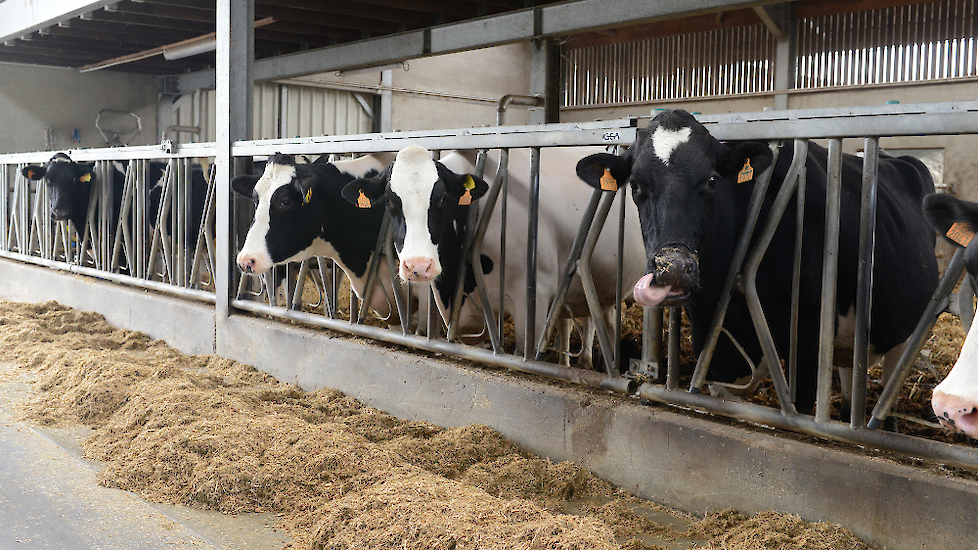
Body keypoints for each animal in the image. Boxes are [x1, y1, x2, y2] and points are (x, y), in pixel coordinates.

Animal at [576, 111, 936, 414]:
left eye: (712, 180)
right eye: (635, 185)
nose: (673, 268)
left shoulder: (808, 342)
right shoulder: (717, 350)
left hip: (905, 332)